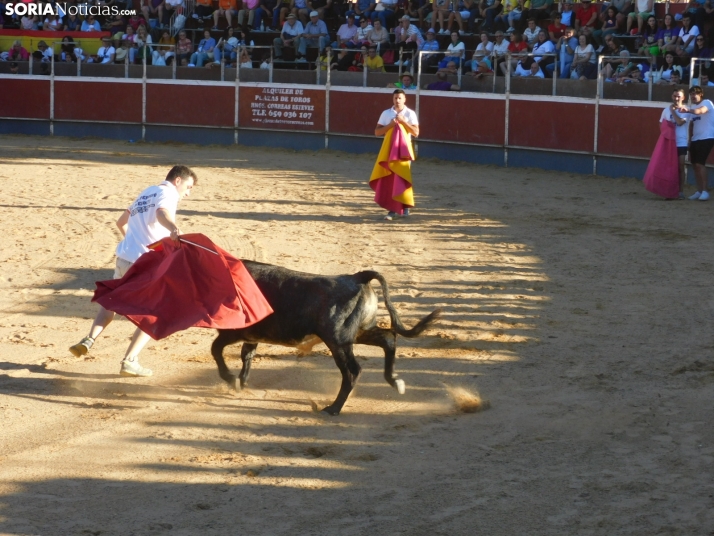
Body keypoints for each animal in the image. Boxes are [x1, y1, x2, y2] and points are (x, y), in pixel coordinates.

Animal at [209, 262, 436, 416]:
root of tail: (358, 277)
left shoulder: (233, 332)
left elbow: (216, 349)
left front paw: (231, 379)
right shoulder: (250, 336)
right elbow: (246, 356)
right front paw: (240, 383)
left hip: (338, 340)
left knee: (353, 370)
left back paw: (333, 408)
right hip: (357, 333)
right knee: (388, 338)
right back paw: (395, 381)